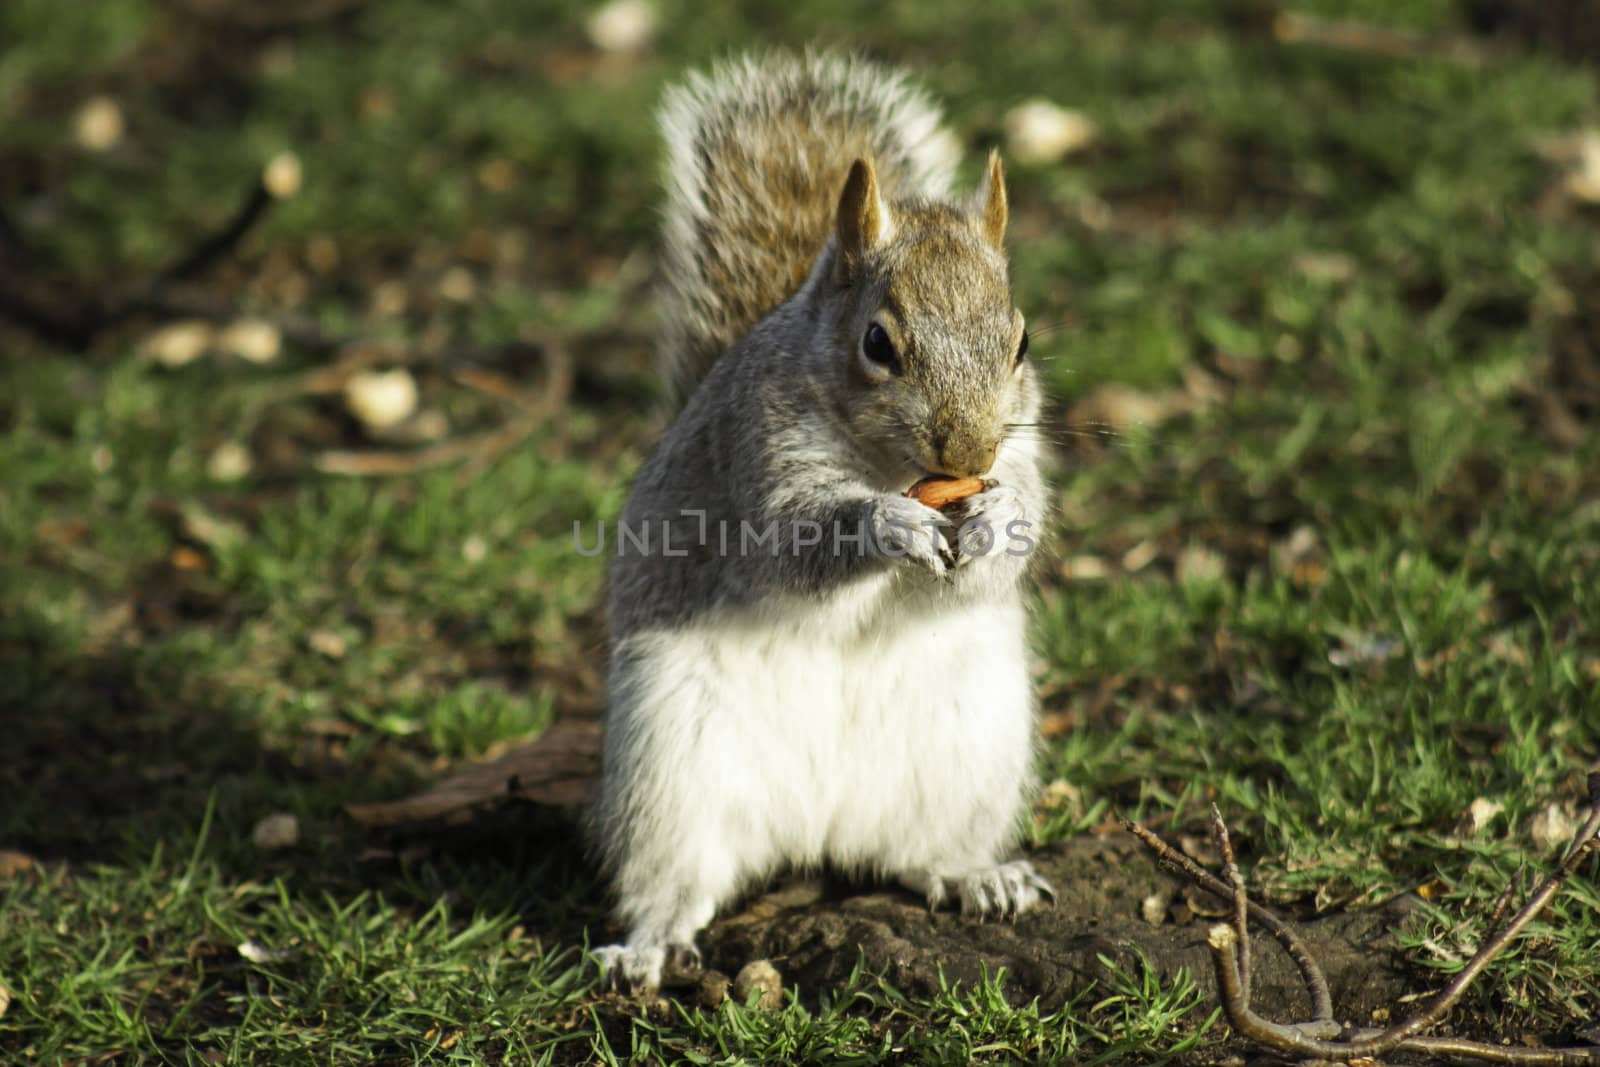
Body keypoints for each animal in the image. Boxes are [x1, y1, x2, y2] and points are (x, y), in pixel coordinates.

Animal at [588, 54, 1049, 991]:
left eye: (1021, 343)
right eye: (877, 343)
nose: (972, 448)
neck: (890, 465)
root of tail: (817, 826)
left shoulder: (1027, 445)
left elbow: (1019, 533)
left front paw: (997, 517)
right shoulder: (756, 455)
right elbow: (789, 541)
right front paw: (884, 528)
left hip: (968, 748)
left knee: (916, 853)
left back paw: (975, 875)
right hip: (671, 767)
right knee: (676, 878)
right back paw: (649, 944)